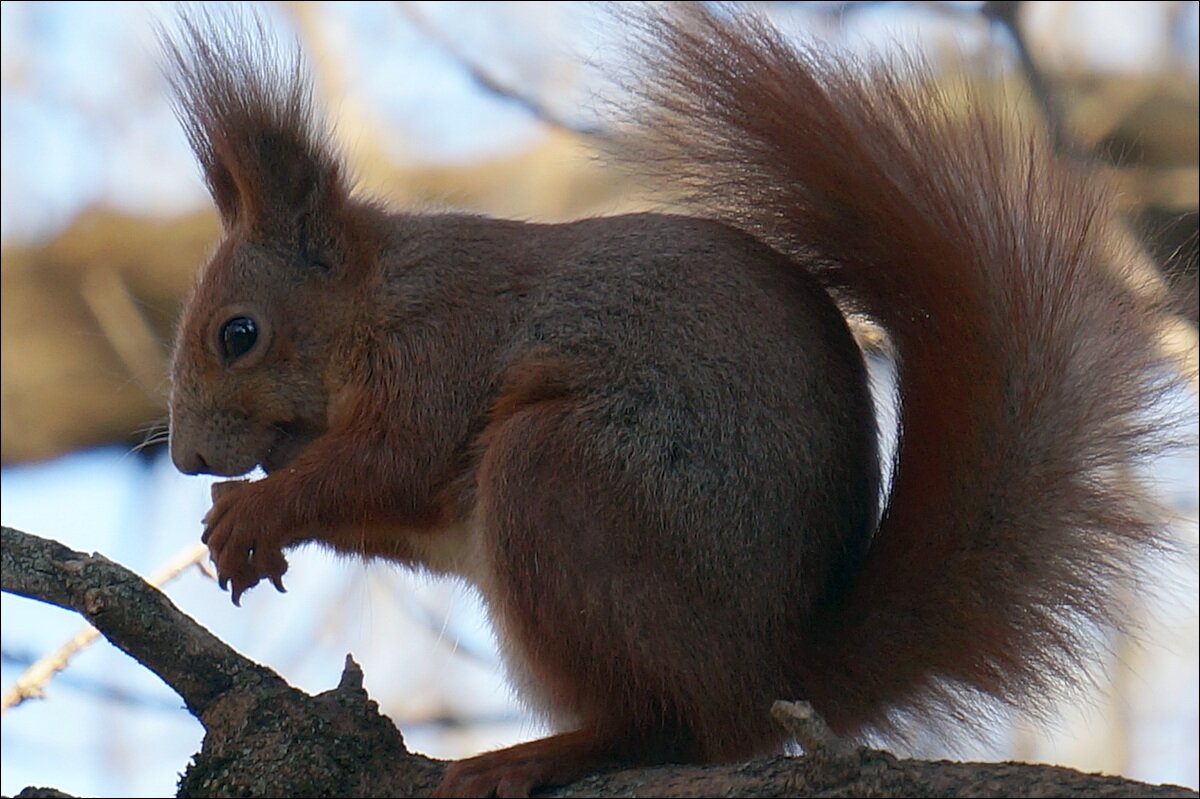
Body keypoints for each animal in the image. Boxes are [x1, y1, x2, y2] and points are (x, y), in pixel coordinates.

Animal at [164, 6, 1185, 796]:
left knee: (676, 725)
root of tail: (772, 665)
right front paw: (238, 524)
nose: (186, 459)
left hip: (565, 482)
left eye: (238, 333)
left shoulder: (441, 348)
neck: (377, 298)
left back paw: (546, 753)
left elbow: (395, 464)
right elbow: (389, 509)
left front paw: (254, 509)